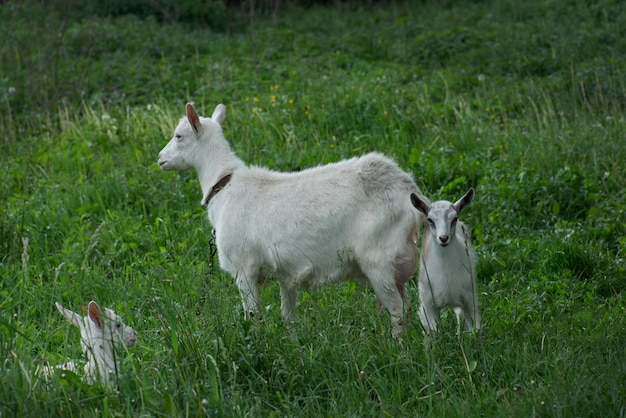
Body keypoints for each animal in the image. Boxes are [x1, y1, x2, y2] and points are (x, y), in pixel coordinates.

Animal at [157, 103, 424, 338]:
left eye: (178, 136)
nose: (160, 158)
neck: (224, 186)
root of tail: (408, 189)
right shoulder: (286, 273)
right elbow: (288, 316)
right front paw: (294, 345)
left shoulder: (245, 268)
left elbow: (252, 316)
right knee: (408, 308)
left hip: (378, 258)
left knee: (397, 310)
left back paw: (397, 349)